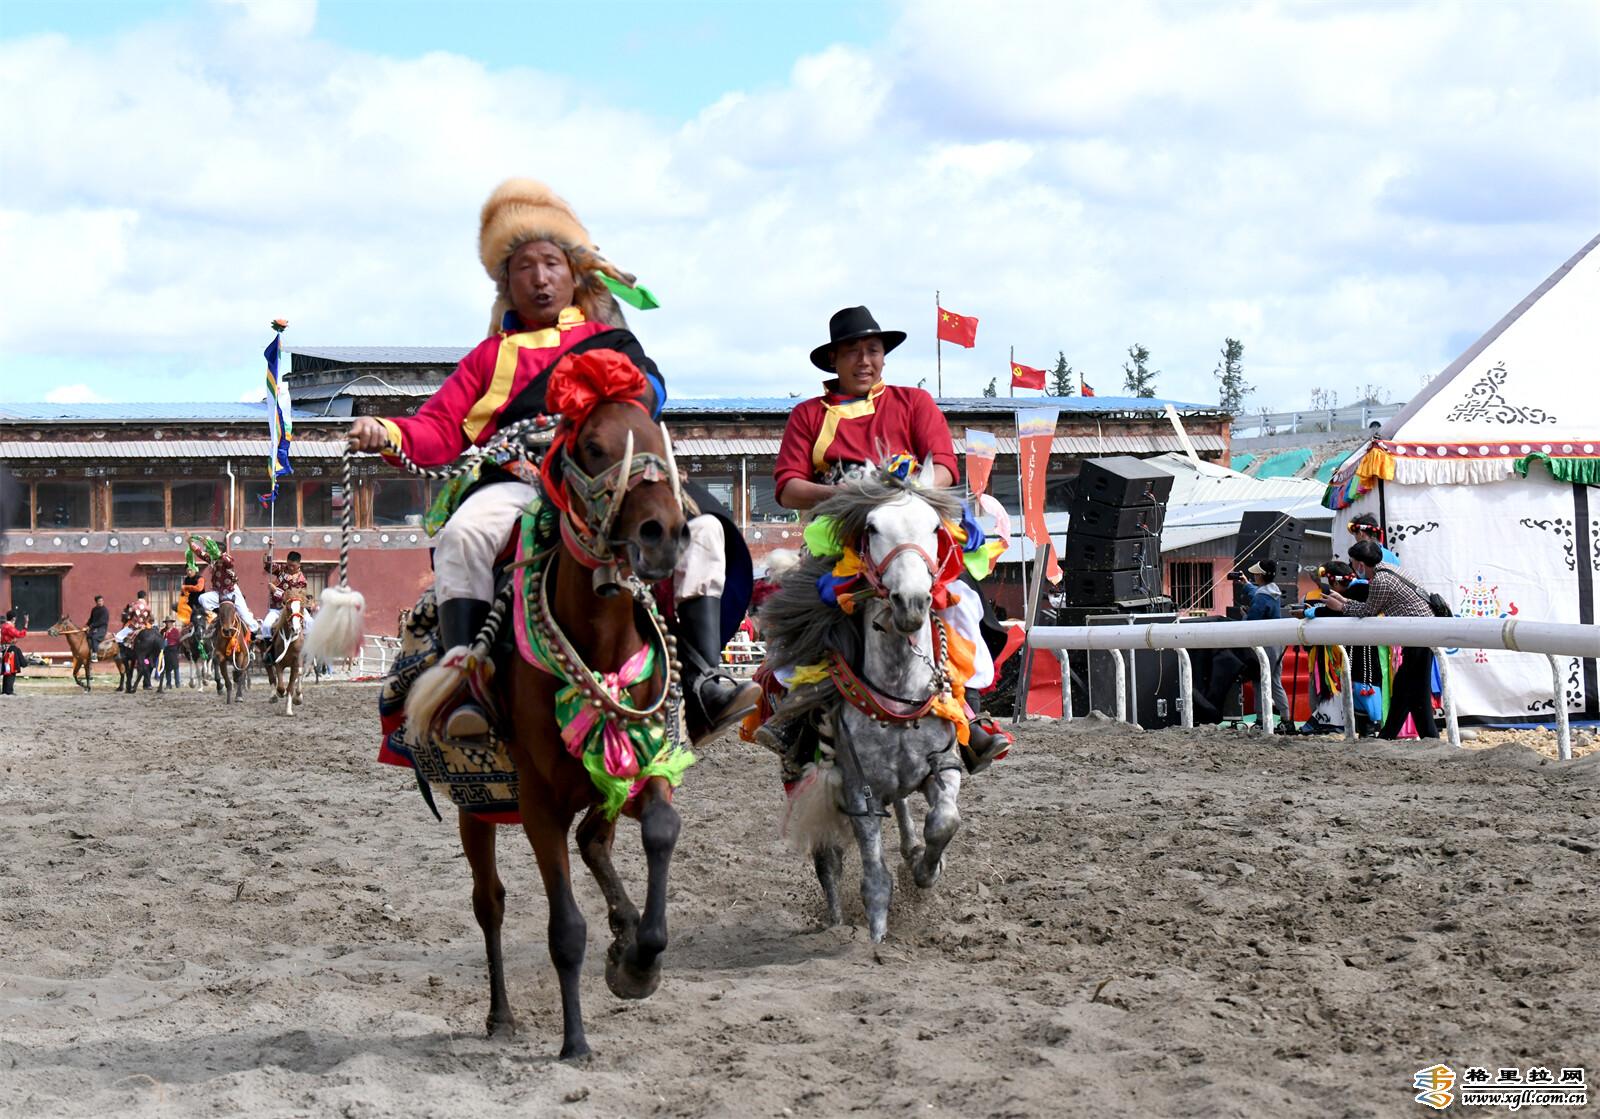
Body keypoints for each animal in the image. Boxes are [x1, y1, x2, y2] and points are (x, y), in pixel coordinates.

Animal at [402, 355, 691, 1060]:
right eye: (591, 447)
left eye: (658, 434)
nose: (662, 535)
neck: (600, 639)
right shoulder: (536, 802)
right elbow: (565, 928)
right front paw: (576, 1041)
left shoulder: (640, 763)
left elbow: (660, 830)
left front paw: (640, 958)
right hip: (477, 809)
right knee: (491, 903)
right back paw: (501, 1015)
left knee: (593, 842)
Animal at [761, 463, 968, 943]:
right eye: (871, 528)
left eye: (935, 527)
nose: (911, 602)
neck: (899, 687)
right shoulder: (858, 789)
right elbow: (874, 878)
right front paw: (873, 942)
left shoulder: (944, 764)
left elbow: (943, 822)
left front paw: (927, 870)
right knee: (828, 862)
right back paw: (836, 923)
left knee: (906, 813)